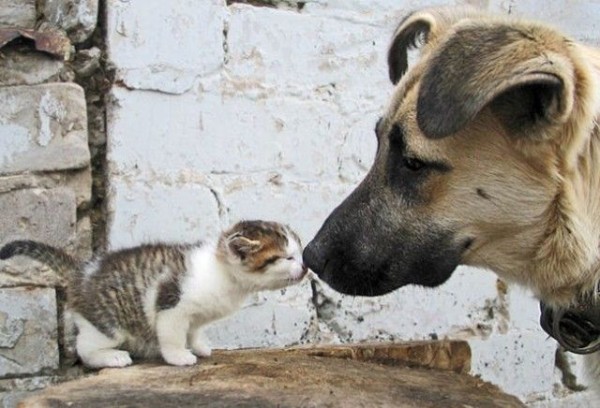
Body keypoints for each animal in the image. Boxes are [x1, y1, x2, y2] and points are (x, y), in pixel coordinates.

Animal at [0, 222, 308, 368]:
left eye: (299, 252)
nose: (305, 266)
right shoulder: (172, 304)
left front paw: (199, 346)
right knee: (85, 347)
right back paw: (112, 358)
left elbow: (194, 330)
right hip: (107, 324)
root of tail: (83, 271)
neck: (223, 274)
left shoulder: (196, 316)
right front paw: (179, 357)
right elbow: (172, 336)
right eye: (287, 257)